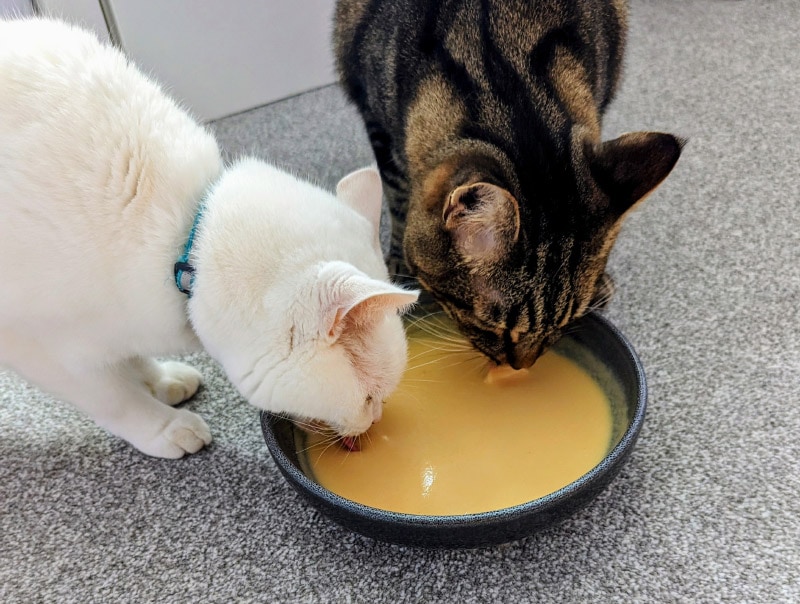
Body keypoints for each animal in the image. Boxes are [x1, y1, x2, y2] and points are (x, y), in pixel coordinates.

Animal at [0, 17, 418, 458]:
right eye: (370, 397)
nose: (375, 420)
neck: (185, 247)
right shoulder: (37, 346)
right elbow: (112, 396)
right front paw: (163, 426)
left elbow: (128, 360)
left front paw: (160, 380)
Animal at [332, 0, 680, 368]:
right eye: (492, 326)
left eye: (567, 322)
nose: (522, 366)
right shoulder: (376, 121)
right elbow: (397, 196)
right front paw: (396, 264)